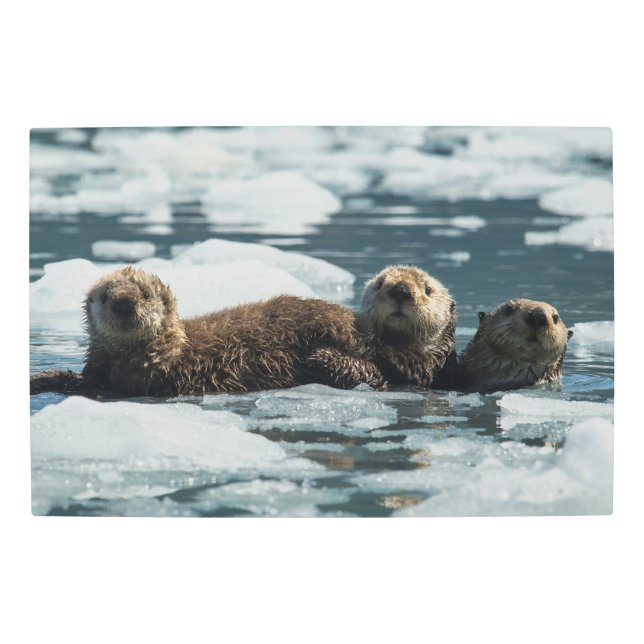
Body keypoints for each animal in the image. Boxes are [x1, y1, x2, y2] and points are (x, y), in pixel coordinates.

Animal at [30, 266, 387, 397]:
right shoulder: (101, 371)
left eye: (144, 295)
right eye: (106, 296)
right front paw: (42, 379)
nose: (123, 304)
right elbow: (83, 380)